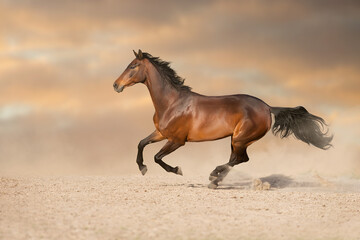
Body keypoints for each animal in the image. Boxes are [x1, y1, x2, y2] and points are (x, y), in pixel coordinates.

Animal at [112, 49, 332, 188]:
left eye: (133, 66)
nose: (116, 85)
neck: (172, 103)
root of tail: (267, 107)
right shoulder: (160, 133)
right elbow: (141, 143)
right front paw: (142, 168)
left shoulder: (177, 140)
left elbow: (158, 157)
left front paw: (177, 170)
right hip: (236, 139)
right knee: (236, 159)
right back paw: (214, 179)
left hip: (240, 139)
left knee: (240, 159)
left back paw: (213, 177)